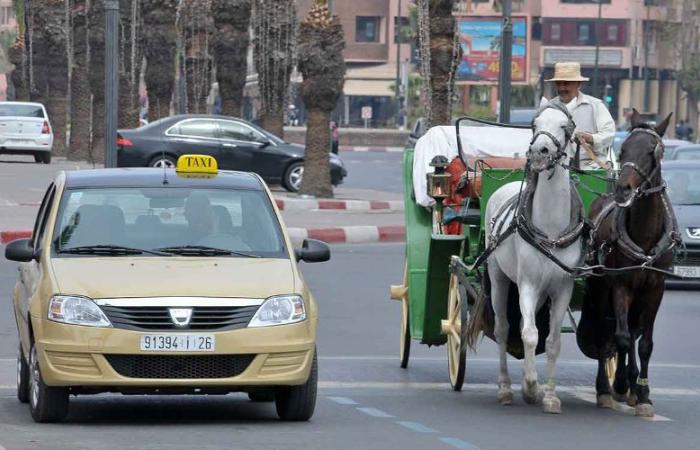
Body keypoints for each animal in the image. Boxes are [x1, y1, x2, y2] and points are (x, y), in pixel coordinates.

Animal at [484, 101, 584, 414]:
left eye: (565, 127)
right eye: (534, 124)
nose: (539, 151)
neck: (550, 229)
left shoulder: (562, 288)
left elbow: (551, 341)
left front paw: (549, 395)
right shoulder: (527, 284)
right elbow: (529, 334)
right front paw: (529, 387)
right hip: (499, 278)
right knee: (504, 329)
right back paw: (505, 388)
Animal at [576, 110, 680, 418]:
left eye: (652, 151)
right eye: (622, 150)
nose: (624, 188)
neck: (645, 236)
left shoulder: (655, 288)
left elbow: (644, 343)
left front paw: (643, 394)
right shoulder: (620, 284)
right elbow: (620, 337)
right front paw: (619, 385)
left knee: (633, 332)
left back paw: (633, 386)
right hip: (601, 288)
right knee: (605, 332)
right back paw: (607, 388)